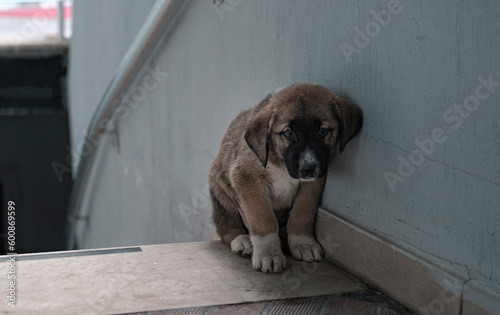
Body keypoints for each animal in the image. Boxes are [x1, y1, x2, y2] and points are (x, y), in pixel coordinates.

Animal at [209, 84, 362, 274]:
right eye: (288, 132)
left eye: (322, 131)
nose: (307, 168)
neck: (281, 161)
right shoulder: (246, 177)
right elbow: (263, 219)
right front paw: (269, 254)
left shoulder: (313, 183)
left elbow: (302, 212)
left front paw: (303, 243)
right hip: (221, 194)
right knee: (226, 226)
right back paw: (242, 240)